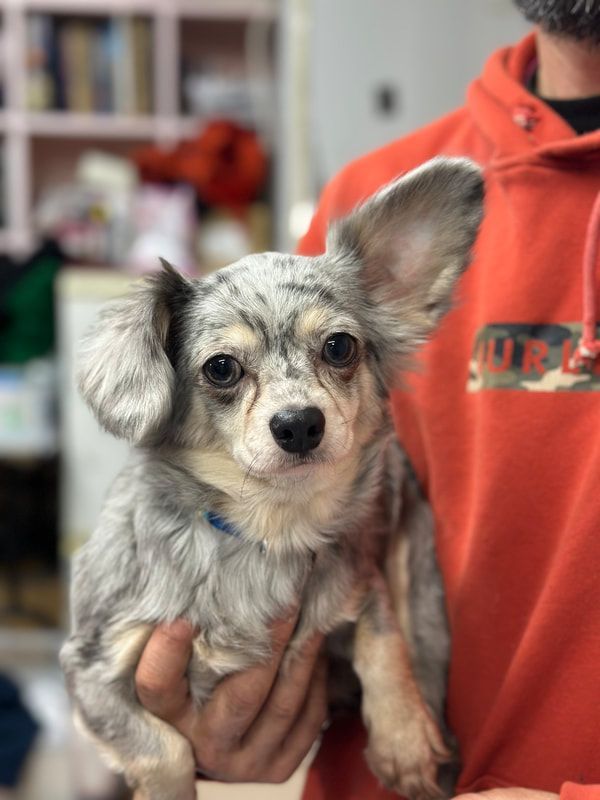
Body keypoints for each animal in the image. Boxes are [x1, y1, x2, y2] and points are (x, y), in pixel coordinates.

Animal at [61, 158, 482, 800]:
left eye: (339, 346)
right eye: (221, 368)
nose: (299, 423)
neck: (271, 528)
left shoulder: (360, 588)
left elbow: (381, 637)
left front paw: (404, 738)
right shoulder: (93, 669)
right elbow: (165, 750)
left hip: (423, 600)